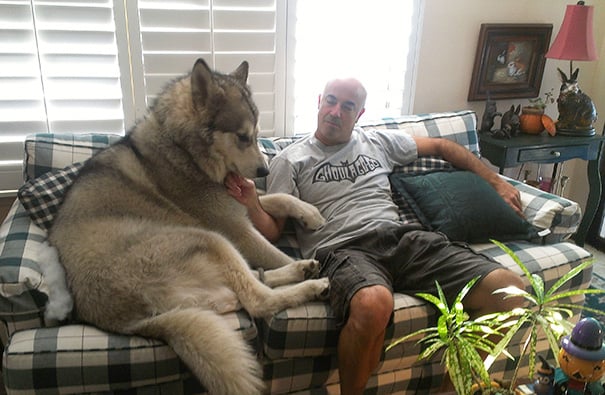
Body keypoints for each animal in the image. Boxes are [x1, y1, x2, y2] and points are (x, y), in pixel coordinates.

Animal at [49, 59, 328, 395]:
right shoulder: (233, 227)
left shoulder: (236, 205)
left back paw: (301, 270)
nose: (264, 170)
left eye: (258, 133)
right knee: (257, 298)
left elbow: (276, 198)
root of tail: (128, 323)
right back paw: (311, 282)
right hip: (209, 239)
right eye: (242, 137)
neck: (182, 149)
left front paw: (309, 213)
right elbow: (274, 251)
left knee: (250, 282)